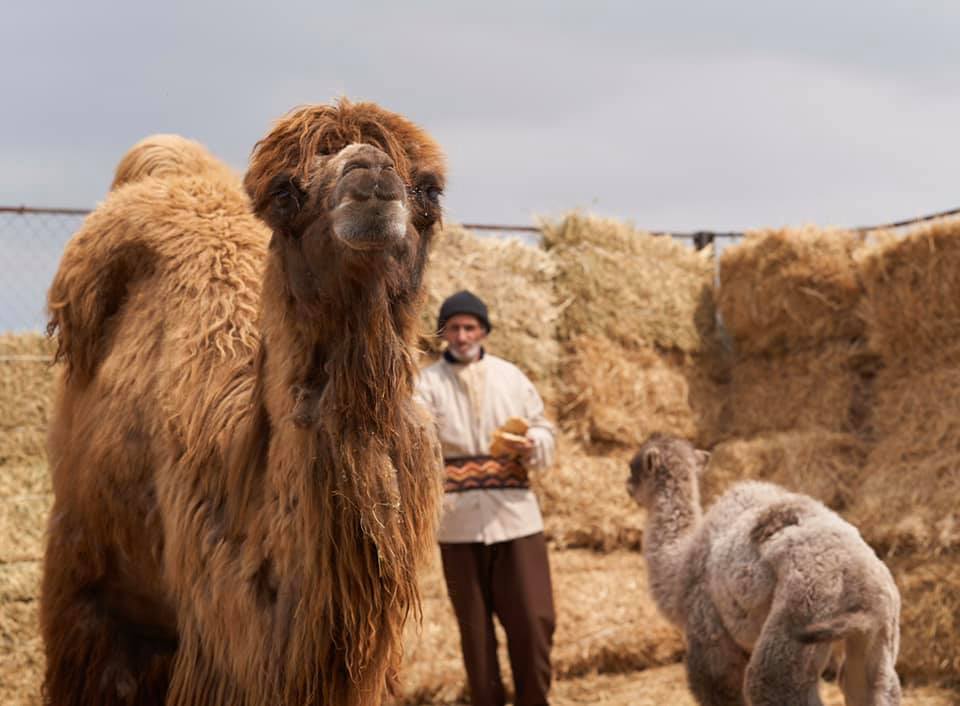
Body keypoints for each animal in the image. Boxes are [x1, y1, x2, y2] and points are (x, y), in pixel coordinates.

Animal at [628, 434, 904, 704]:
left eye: (634, 466)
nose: (627, 485)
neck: (681, 563)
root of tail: (863, 584)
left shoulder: (710, 640)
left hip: (800, 617)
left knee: (772, 685)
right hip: (876, 637)